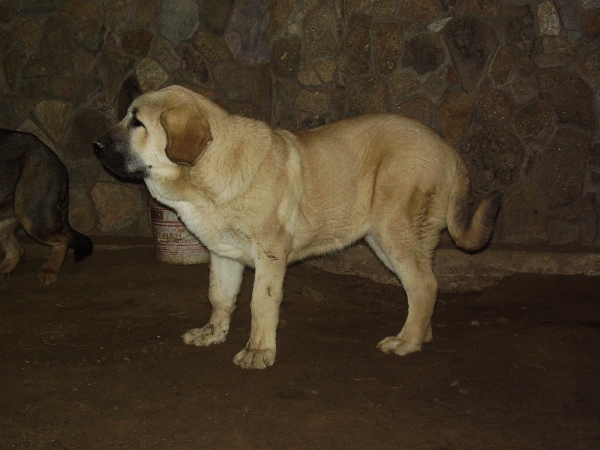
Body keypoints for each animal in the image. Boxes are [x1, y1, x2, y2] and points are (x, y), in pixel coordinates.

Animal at [94, 84, 500, 370]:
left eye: (137, 122)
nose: (95, 145)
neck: (205, 171)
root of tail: (448, 150)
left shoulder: (270, 252)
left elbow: (260, 302)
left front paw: (258, 351)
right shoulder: (224, 254)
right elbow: (219, 297)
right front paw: (212, 334)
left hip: (393, 232)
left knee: (425, 285)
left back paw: (406, 342)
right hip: (390, 239)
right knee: (422, 287)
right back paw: (419, 334)